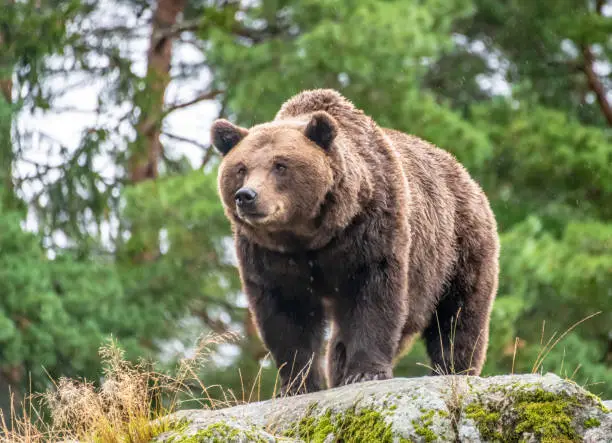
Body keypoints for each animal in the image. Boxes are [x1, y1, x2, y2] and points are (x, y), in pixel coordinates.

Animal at [210, 88, 498, 398]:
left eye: (280, 165)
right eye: (241, 168)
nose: (247, 196)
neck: (311, 236)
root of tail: (462, 172)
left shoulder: (371, 230)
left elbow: (374, 297)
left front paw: (365, 372)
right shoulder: (269, 256)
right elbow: (286, 315)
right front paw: (296, 385)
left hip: (457, 248)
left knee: (459, 314)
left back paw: (453, 369)